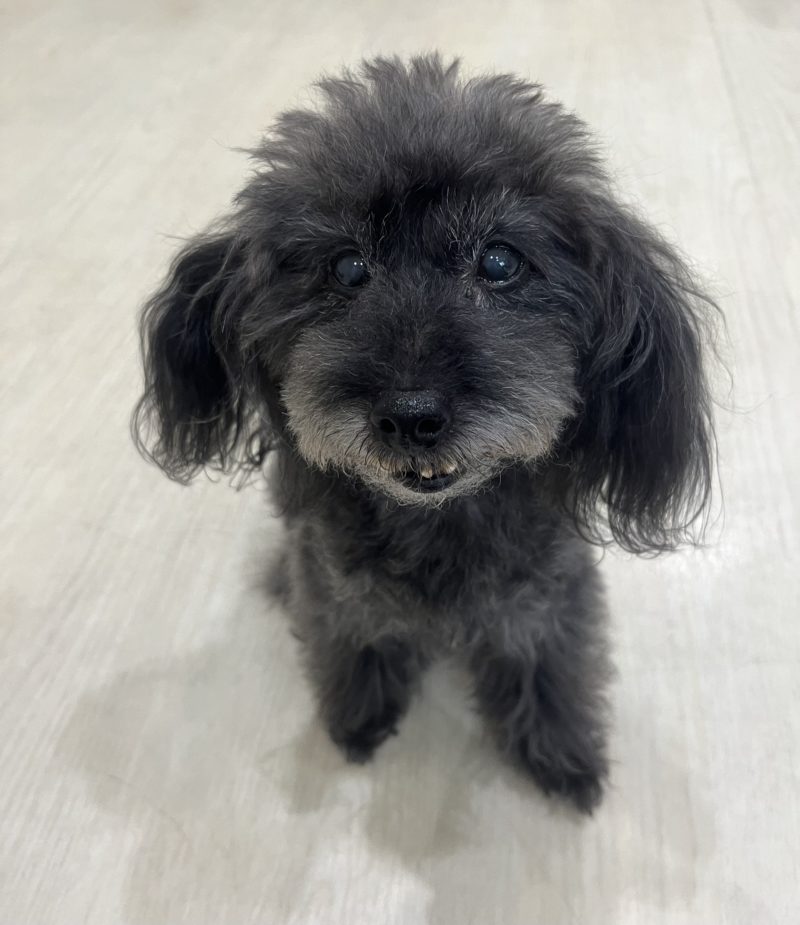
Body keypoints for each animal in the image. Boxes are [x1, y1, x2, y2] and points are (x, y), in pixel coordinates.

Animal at [133, 55, 715, 812]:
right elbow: (353, 644)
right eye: (347, 266)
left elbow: (548, 664)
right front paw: (359, 719)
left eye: (501, 261)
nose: (410, 415)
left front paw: (561, 754)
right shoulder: (336, 586)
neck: (438, 519)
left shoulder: (549, 594)